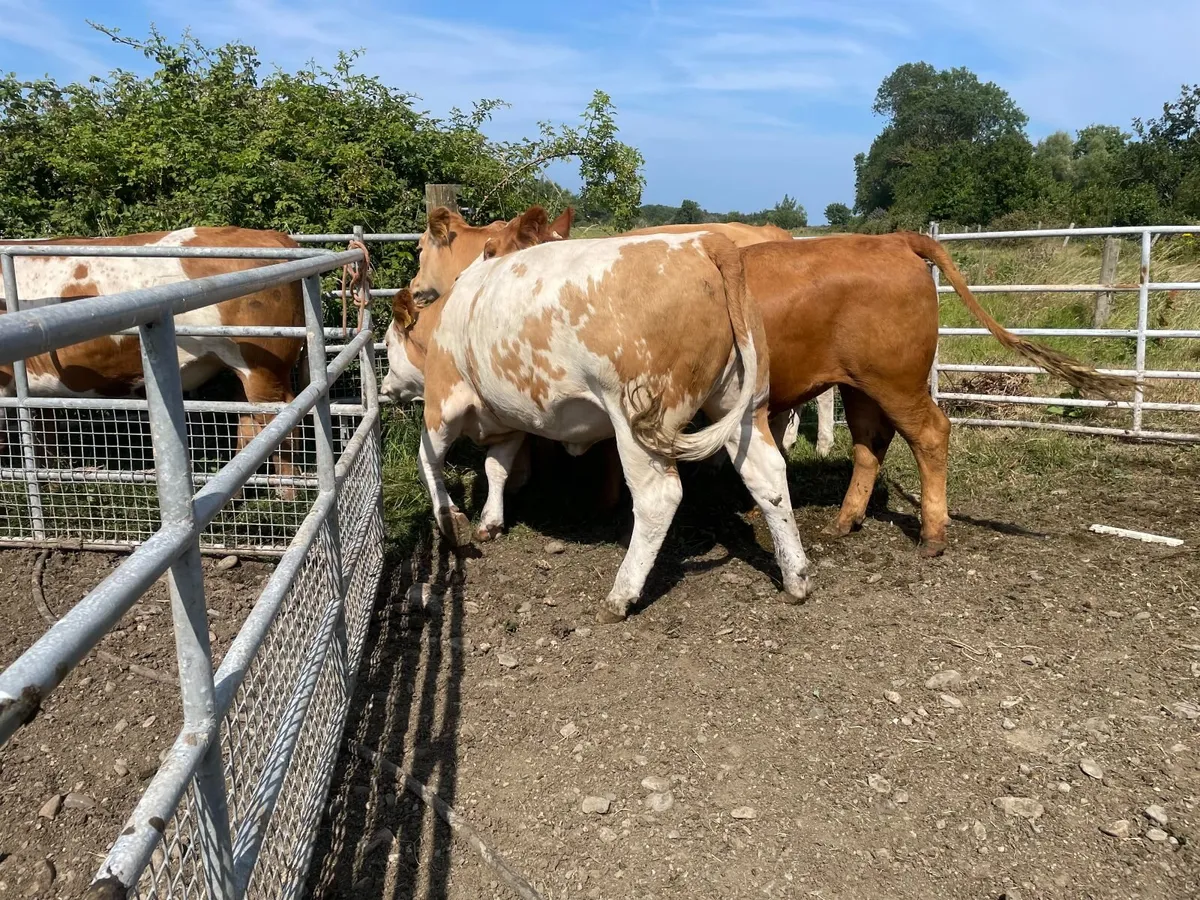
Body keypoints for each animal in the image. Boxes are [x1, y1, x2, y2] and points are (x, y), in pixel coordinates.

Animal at [0, 227, 308, 497]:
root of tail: (272, 235)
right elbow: (44, 433)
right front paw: (51, 481)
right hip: (240, 368)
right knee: (248, 424)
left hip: (263, 366)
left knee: (281, 420)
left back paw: (286, 495)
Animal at [392, 224, 811, 623]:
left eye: (391, 342)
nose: (385, 386)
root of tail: (703, 242)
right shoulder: (507, 420)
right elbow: (497, 467)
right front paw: (490, 522)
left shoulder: (442, 400)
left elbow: (427, 461)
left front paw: (450, 520)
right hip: (740, 406)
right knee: (768, 477)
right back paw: (796, 579)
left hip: (637, 420)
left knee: (658, 498)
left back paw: (621, 595)